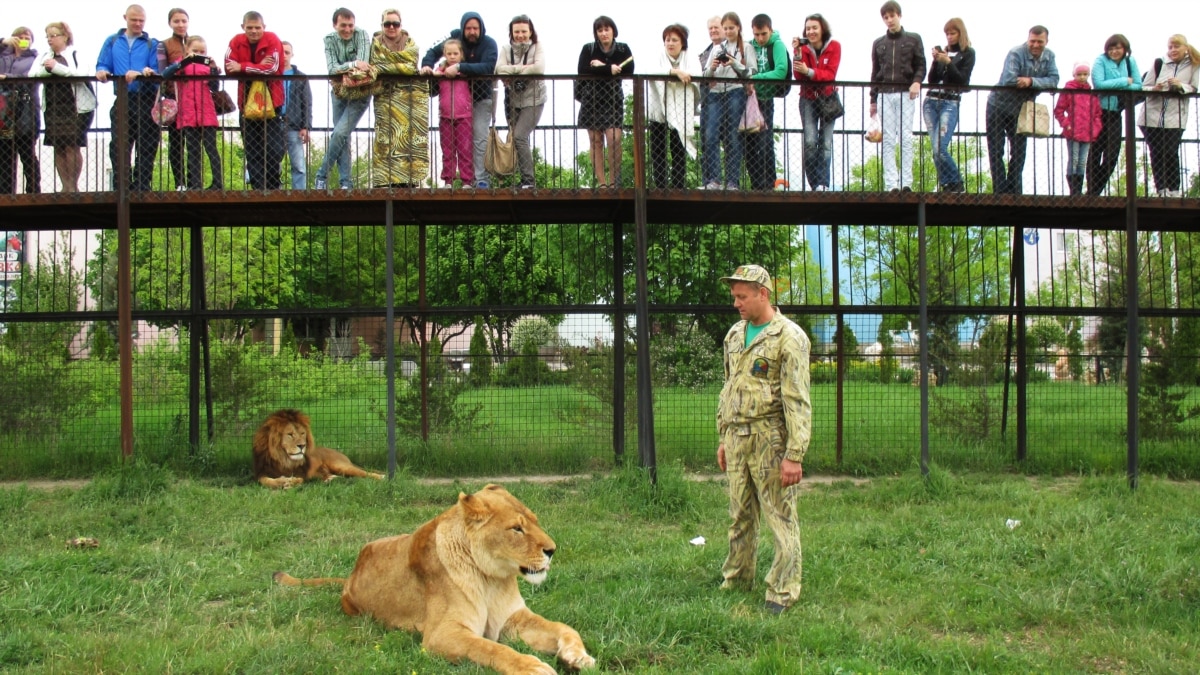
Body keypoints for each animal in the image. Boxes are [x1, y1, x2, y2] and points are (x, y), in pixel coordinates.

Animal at [253, 408, 384, 485]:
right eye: (290, 434)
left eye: (302, 433)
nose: (302, 445)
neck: (283, 459)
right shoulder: (261, 472)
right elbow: (265, 481)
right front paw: (280, 482)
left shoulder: (302, 473)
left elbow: (299, 479)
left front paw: (290, 482)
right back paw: (330, 479)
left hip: (341, 465)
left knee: (365, 473)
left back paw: (381, 477)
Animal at [271, 482, 590, 672]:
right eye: (516, 529)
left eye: (535, 521)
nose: (552, 550)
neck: (491, 579)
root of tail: (349, 577)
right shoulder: (442, 634)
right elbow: (492, 648)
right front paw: (534, 667)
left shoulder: (513, 619)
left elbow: (564, 627)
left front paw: (578, 656)